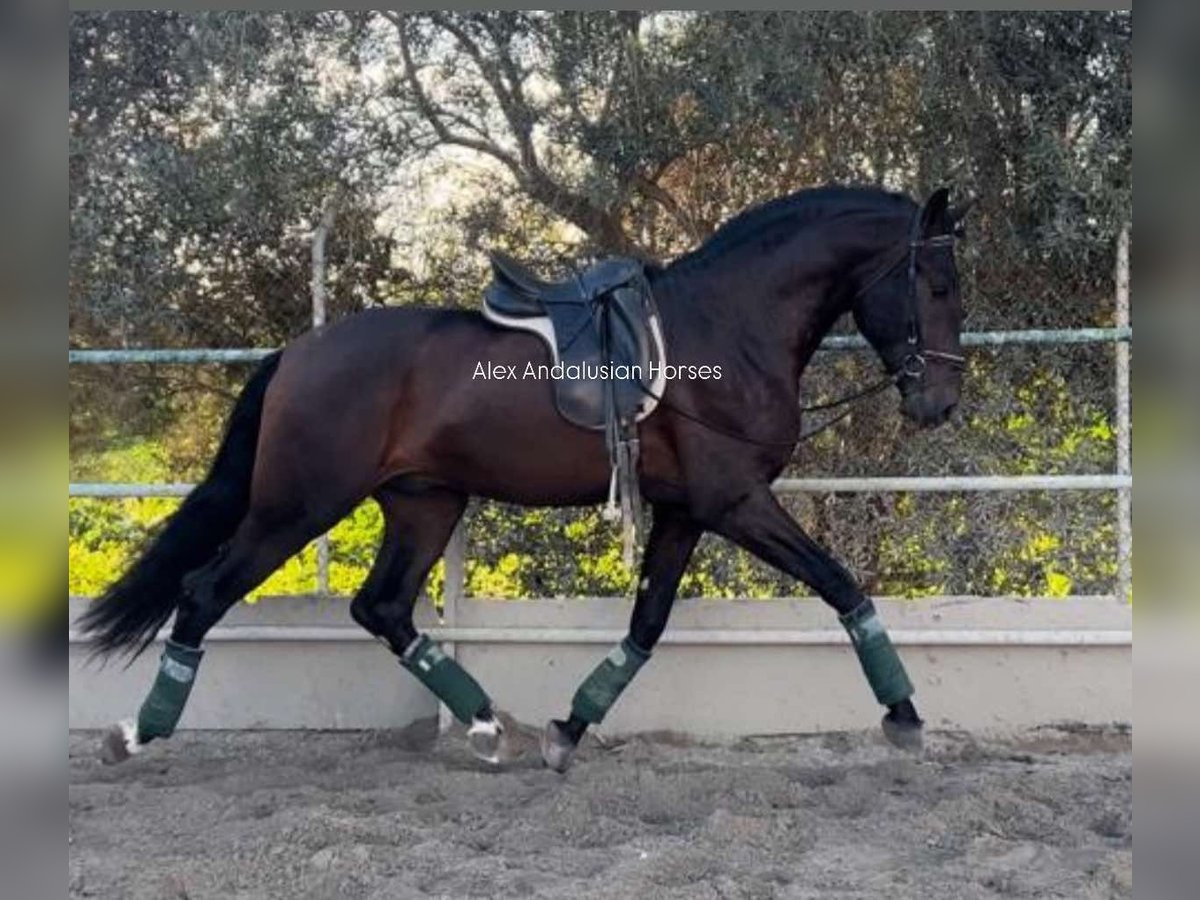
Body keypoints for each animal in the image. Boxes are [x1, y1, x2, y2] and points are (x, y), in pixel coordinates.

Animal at [79, 184, 969, 777]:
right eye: (938, 285)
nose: (940, 402)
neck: (726, 327)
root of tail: (298, 353)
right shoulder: (737, 502)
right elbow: (842, 585)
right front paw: (905, 715)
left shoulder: (687, 511)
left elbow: (646, 625)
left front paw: (568, 730)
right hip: (296, 508)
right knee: (204, 594)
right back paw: (136, 733)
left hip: (425, 505)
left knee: (383, 608)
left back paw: (483, 727)